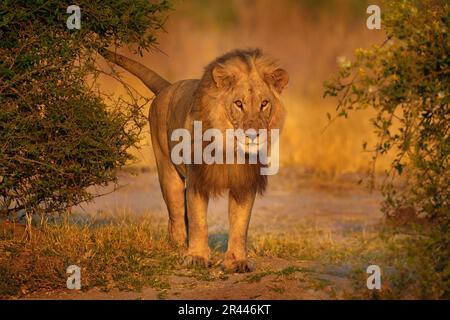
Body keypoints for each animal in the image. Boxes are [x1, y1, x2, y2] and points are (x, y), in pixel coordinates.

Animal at [101, 48, 288, 272]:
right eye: (238, 104)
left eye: (264, 104)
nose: (253, 134)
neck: (229, 147)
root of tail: (168, 86)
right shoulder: (197, 178)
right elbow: (199, 220)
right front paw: (197, 257)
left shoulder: (243, 182)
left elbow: (240, 224)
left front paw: (237, 261)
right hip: (167, 170)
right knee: (176, 212)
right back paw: (180, 247)